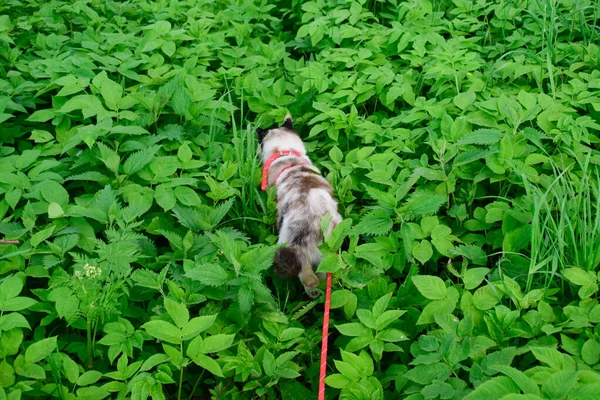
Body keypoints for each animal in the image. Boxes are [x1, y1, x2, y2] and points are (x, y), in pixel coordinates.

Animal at [256, 114, 342, 298]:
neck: (286, 152)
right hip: (329, 254)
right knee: (323, 276)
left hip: (287, 246)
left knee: (310, 279)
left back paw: (313, 295)